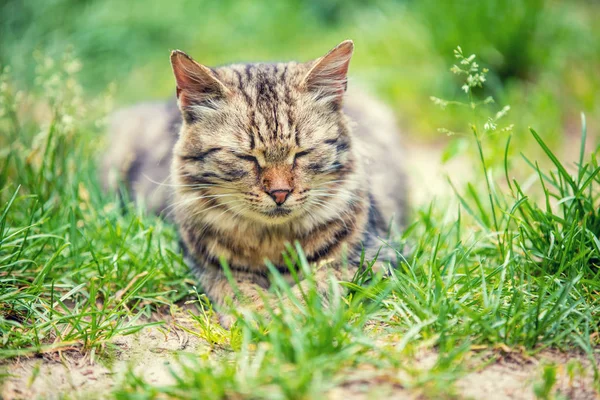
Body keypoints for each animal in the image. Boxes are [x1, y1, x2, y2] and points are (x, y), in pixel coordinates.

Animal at [102, 40, 408, 326]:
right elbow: (239, 290)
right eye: (246, 157)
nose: (280, 193)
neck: (272, 244)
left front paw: (290, 313)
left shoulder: (373, 254)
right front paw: (262, 314)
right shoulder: (209, 265)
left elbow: (319, 283)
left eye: (301, 153)